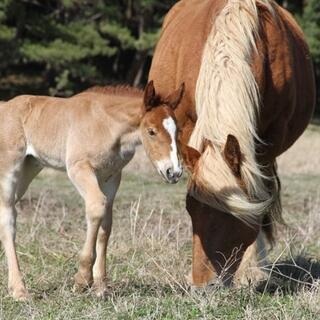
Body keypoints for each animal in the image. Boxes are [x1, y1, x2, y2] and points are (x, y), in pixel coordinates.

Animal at [0, 80, 184, 300]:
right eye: (151, 131)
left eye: (177, 131)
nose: (174, 172)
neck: (107, 126)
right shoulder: (79, 168)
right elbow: (97, 207)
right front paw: (82, 280)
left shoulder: (111, 177)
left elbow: (106, 226)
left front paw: (101, 286)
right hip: (9, 172)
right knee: (8, 221)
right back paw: (19, 290)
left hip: (29, 170)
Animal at [149, 0, 316, 284]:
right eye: (190, 209)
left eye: (229, 215)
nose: (202, 284)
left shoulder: (268, 144)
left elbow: (258, 197)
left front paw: (251, 270)